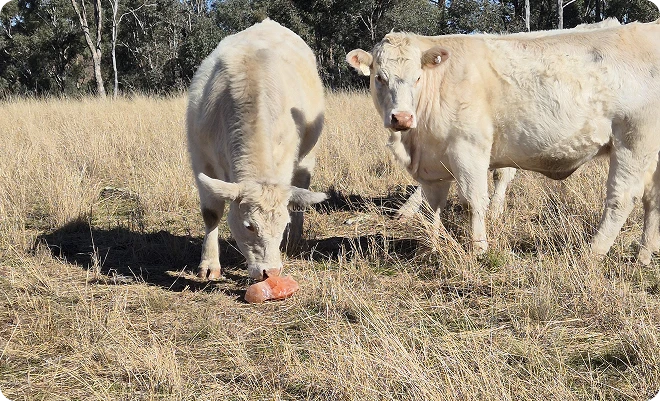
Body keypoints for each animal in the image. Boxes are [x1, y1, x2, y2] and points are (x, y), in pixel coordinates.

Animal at [187, 19, 327, 281]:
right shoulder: (201, 158)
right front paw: (209, 263)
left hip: (307, 156)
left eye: (282, 224)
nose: (270, 272)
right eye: (249, 226)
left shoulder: (284, 160)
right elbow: (211, 213)